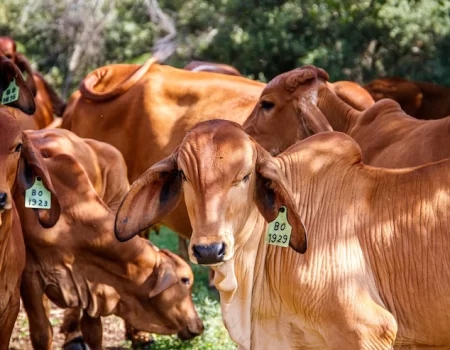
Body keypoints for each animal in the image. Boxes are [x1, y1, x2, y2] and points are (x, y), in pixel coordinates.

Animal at [14, 129, 203, 350]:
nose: (200, 325)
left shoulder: (93, 285)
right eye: (185, 280)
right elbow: (42, 332)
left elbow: (94, 331)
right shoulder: (30, 276)